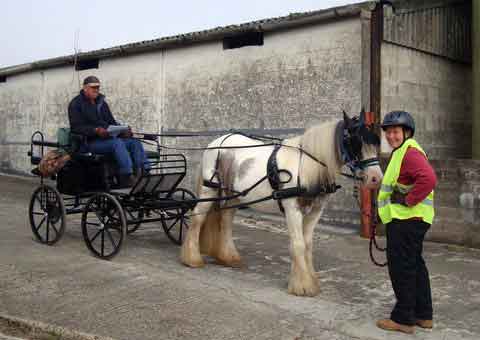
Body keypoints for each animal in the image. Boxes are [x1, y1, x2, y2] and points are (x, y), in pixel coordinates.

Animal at [180, 111, 382, 294]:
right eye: (355, 141)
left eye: (375, 142)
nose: (376, 179)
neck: (306, 166)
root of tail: (217, 142)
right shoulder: (292, 208)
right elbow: (298, 244)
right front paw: (302, 286)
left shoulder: (315, 211)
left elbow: (307, 244)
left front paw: (309, 280)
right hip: (210, 190)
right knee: (197, 219)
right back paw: (192, 259)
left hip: (233, 195)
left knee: (226, 220)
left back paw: (229, 258)